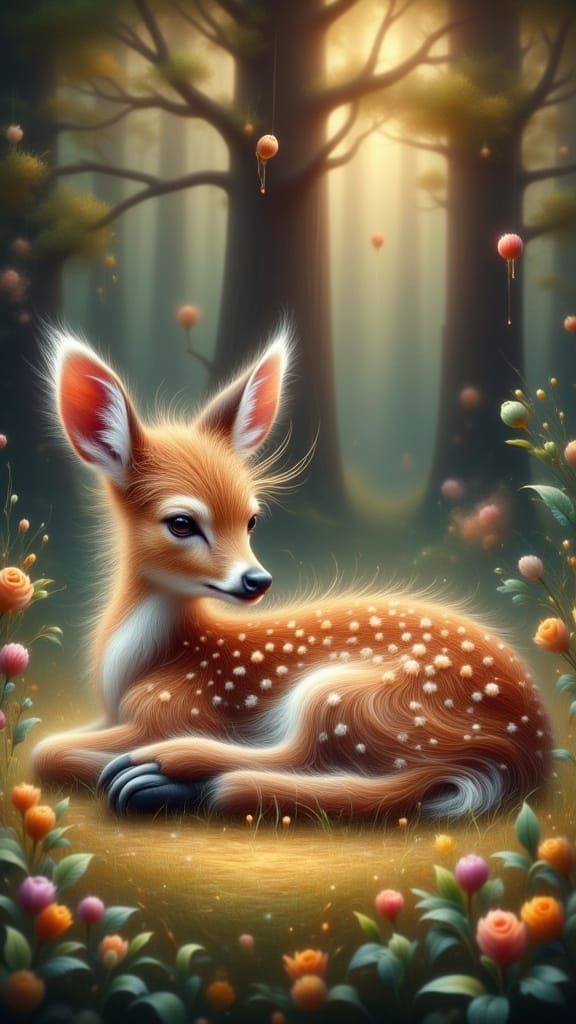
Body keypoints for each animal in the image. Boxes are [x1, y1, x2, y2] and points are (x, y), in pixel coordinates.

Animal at [32, 322, 552, 818]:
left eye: (251, 519)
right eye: (181, 523)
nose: (256, 581)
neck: (140, 665)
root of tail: (523, 756)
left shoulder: (179, 708)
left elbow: (48, 751)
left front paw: (130, 767)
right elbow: (50, 748)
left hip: (352, 695)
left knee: (297, 761)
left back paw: (163, 772)